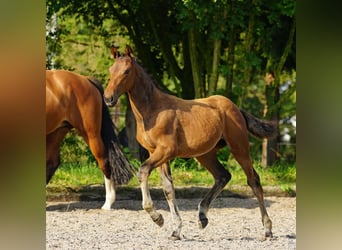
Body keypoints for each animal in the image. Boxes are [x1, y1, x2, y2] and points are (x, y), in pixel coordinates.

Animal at [46, 70, 134, 209]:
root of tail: (86, 79)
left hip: (90, 134)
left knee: (104, 161)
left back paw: (108, 203)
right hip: (57, 131)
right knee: (52, 163)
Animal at [103, 45, 276, 240]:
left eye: (126, 71)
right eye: (110, 70)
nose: (108, 98)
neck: (152, 110)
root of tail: (235, 108)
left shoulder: (166, 151)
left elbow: (143, 171)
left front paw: (157, 218)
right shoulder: (155, 152)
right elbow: (168, 188)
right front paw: (176, 230)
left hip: (239, 148)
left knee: (253, 181)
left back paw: (267, 229)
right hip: (205, 154)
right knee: (223, 176)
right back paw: (202, 216)